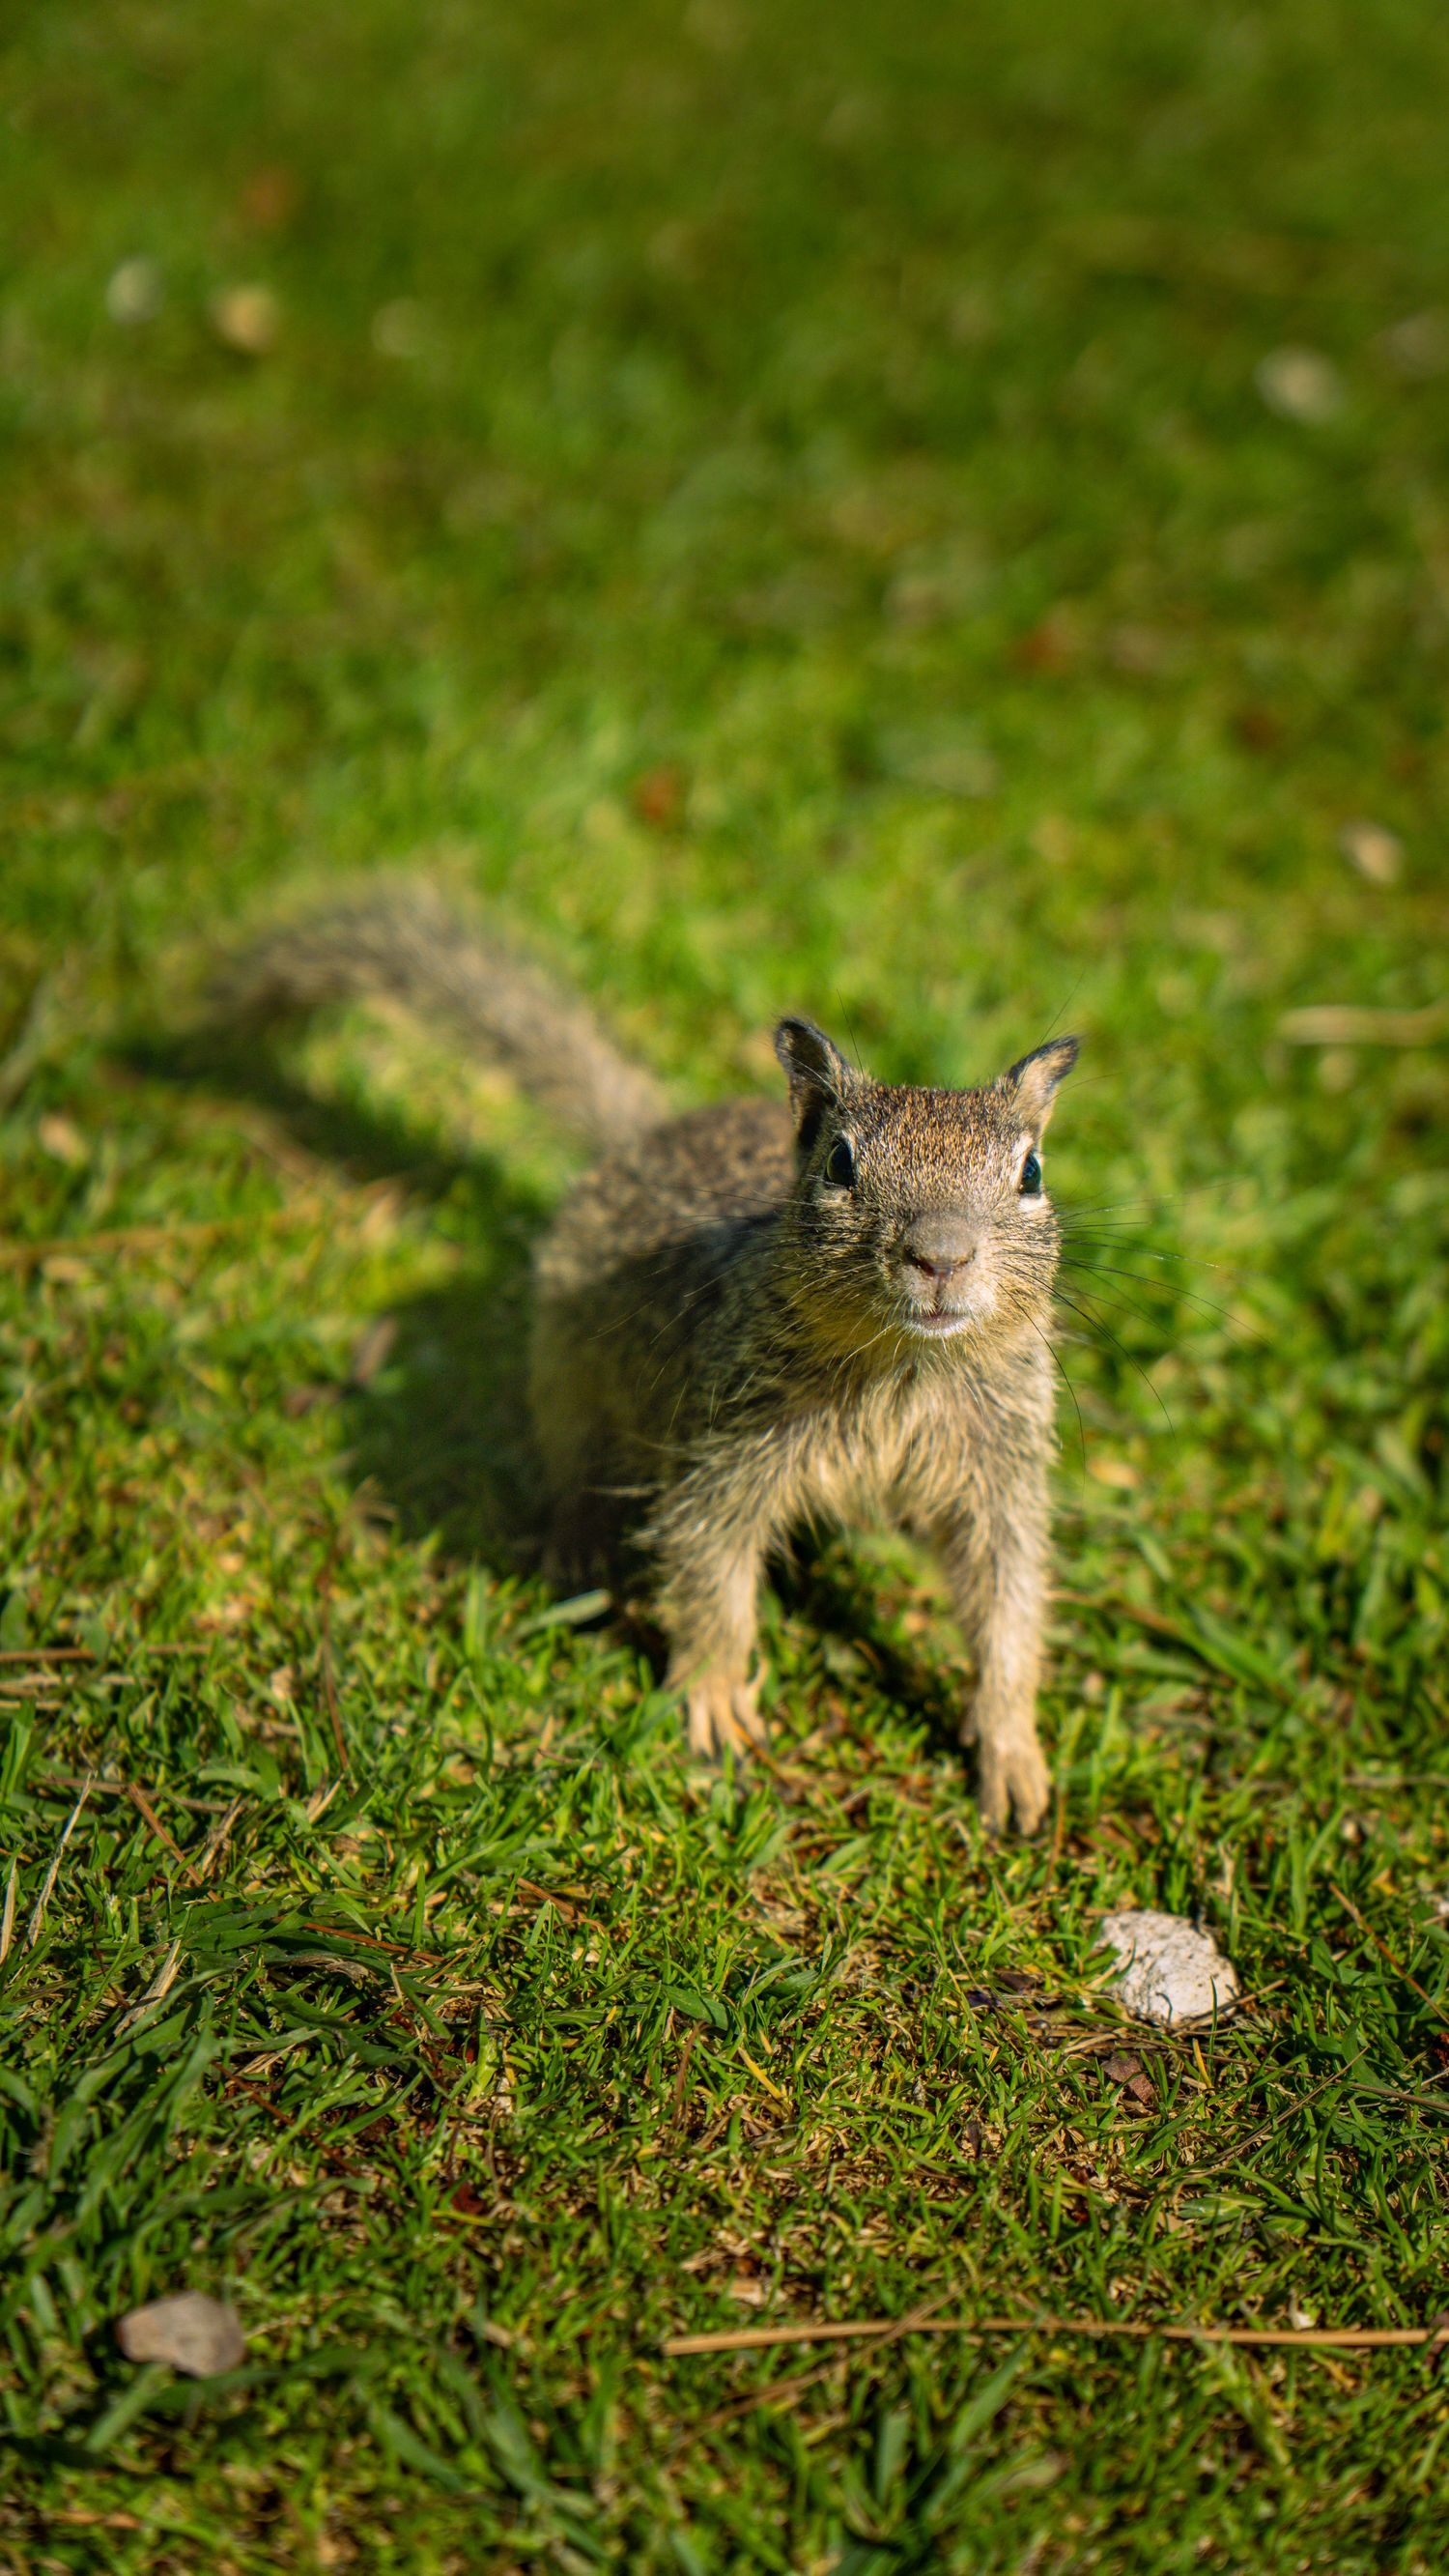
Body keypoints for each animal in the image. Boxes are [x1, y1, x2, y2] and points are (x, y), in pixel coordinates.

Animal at [215, 883, 1080, 1834]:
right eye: (840, 1162)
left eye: (1032, 1172)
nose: (941, 1254)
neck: (901, 1368)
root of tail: (649, 1134)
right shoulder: (721, 1458)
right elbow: (711, 1579)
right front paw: (715, 1702)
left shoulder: (997, 1482)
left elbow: (1009, 1608)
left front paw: (1015, 1756)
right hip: (564, 1376)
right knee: (572, 1464)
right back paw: (580, 1543)